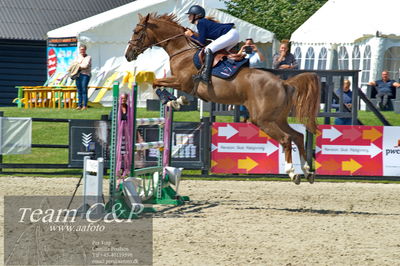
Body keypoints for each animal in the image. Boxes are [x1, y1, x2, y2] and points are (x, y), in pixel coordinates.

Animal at [124, 13, 318, 185]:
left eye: (136, 31)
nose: (128, 55)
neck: (181, 50)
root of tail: (283, 83)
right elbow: (157, 83)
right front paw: (176, 101)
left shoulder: (182, 82)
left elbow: (156, 82)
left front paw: (172, 100)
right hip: (277, 118)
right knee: (298, 136)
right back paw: (307, 171)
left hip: (263, 119)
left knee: (286, 139)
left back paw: (293, 173)